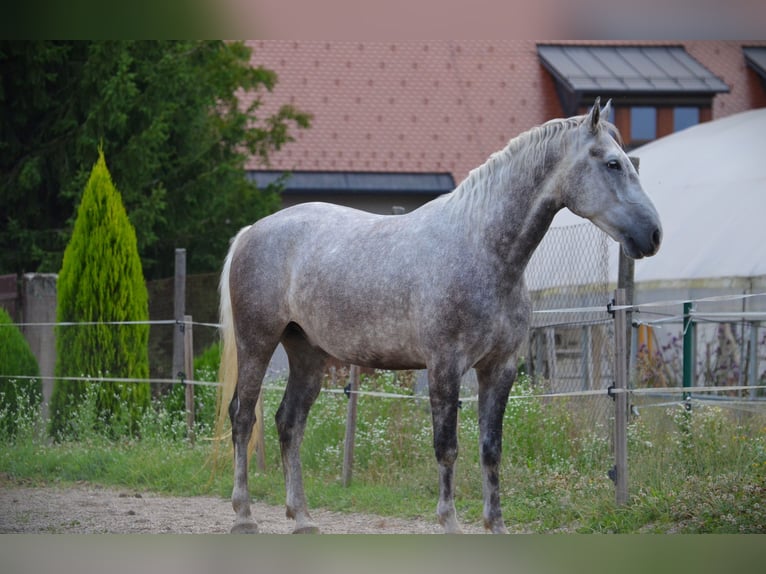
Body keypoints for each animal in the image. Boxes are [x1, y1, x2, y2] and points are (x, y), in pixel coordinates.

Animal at [214, 99, 660, 536]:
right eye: (612, 164)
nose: (653, 234)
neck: (482, 249)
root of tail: (253, 231)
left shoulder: (500, 368)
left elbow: (491, 449)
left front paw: (495, 525)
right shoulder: (444, 367)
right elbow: (447, 447)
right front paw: (449, 522)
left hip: (307, 353)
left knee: (289, 423)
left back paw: (303, 518)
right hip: (257, 344)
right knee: (243, 417)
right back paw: (244, 515)